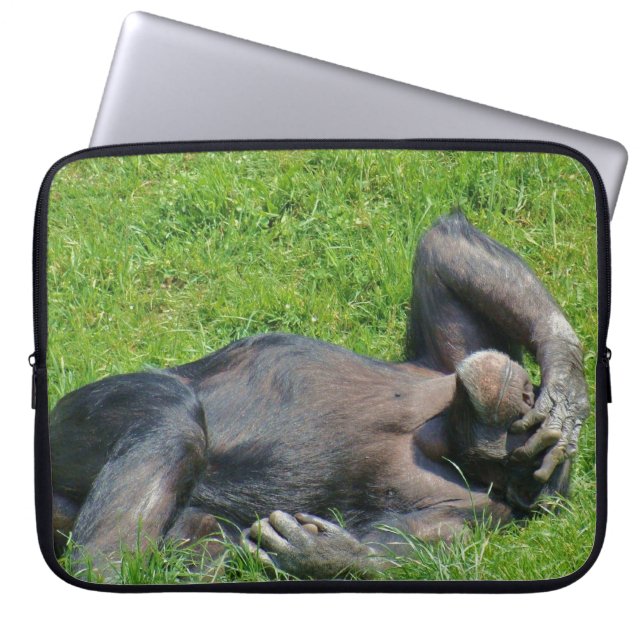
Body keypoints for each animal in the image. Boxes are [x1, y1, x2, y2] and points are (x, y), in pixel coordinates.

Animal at [49, 211, 589, 579]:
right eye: (523, 414)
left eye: (514, 445)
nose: (523, 393)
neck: (437, 437)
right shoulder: (448, 361)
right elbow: (444, 252)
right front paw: (566, 386)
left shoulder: (473, 517)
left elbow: (408, 551)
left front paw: (327, 555)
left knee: (171, 427)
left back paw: (106, 572)